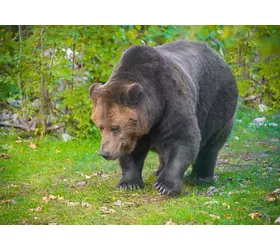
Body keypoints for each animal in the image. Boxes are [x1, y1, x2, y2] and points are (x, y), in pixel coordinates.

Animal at [89, 39, 238, 195]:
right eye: (101, 127)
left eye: (115, 127)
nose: (104, 153)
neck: (155, 110)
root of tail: (219, 57)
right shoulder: (137, 131)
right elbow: (131, 152)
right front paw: (129, 183)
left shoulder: (172, 99)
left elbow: (182, 138)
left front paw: (165, 185)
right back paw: (159, 170)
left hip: (217, 103)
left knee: (210, 145)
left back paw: (200, 178)